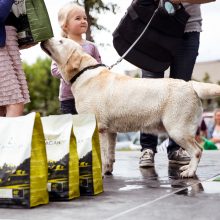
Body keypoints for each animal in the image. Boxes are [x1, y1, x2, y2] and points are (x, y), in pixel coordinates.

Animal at [41, 37, 220, 178]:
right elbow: (109, 155)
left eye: (60, 41)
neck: (83, 73)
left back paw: (189, 171)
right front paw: (107, 171)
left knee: (197, 150)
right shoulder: (109, 131)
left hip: (177, 130)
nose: (43, 39)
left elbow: (101, 155)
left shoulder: (99, 128)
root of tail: (191, 85)